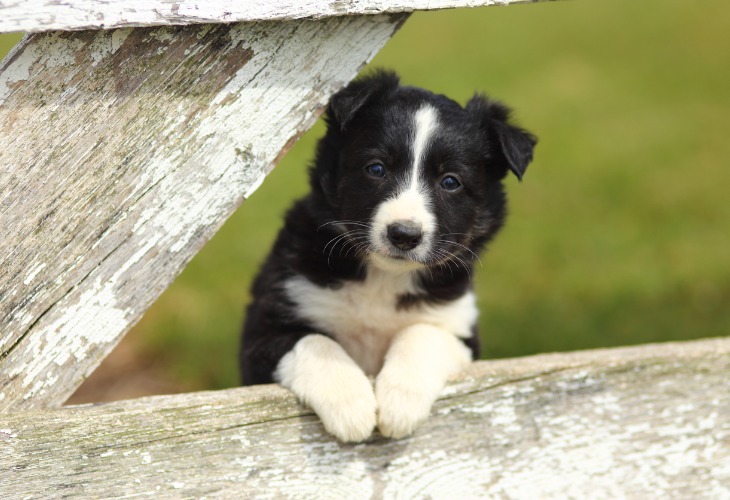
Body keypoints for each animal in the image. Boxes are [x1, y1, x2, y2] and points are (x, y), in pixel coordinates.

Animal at [240, 70, 536, 442]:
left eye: (450, 181)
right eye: (377, 168)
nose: (404, 235)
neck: (383, 277)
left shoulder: (459, 328)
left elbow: (422, 334)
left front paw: (399, 404)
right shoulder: (265, 328)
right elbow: (315, 342)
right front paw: (350, 405)